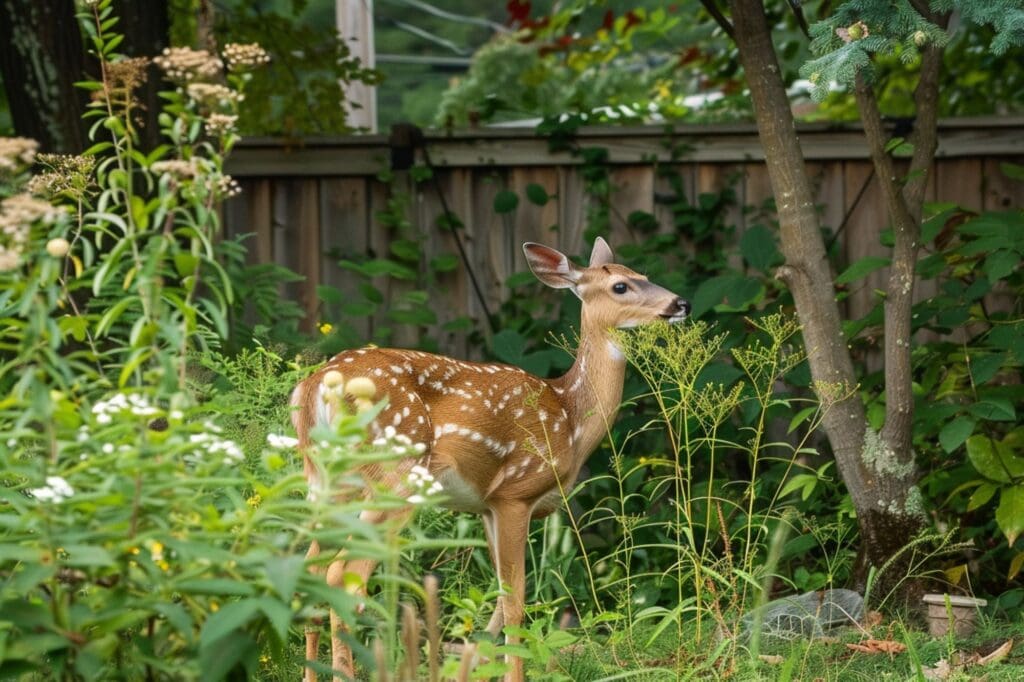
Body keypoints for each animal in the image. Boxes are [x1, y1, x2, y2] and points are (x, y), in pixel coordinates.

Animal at [291, 237, 690, 681]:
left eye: (643, 274)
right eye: (621, 286)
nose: (680, 303)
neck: (570, 419)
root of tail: (313, 388)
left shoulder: (483, 505)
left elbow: (498, 602)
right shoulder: (514, 493)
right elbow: (516, 602)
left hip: (329, 485)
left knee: (308, 570)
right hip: (394, 477)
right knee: (342, 576)